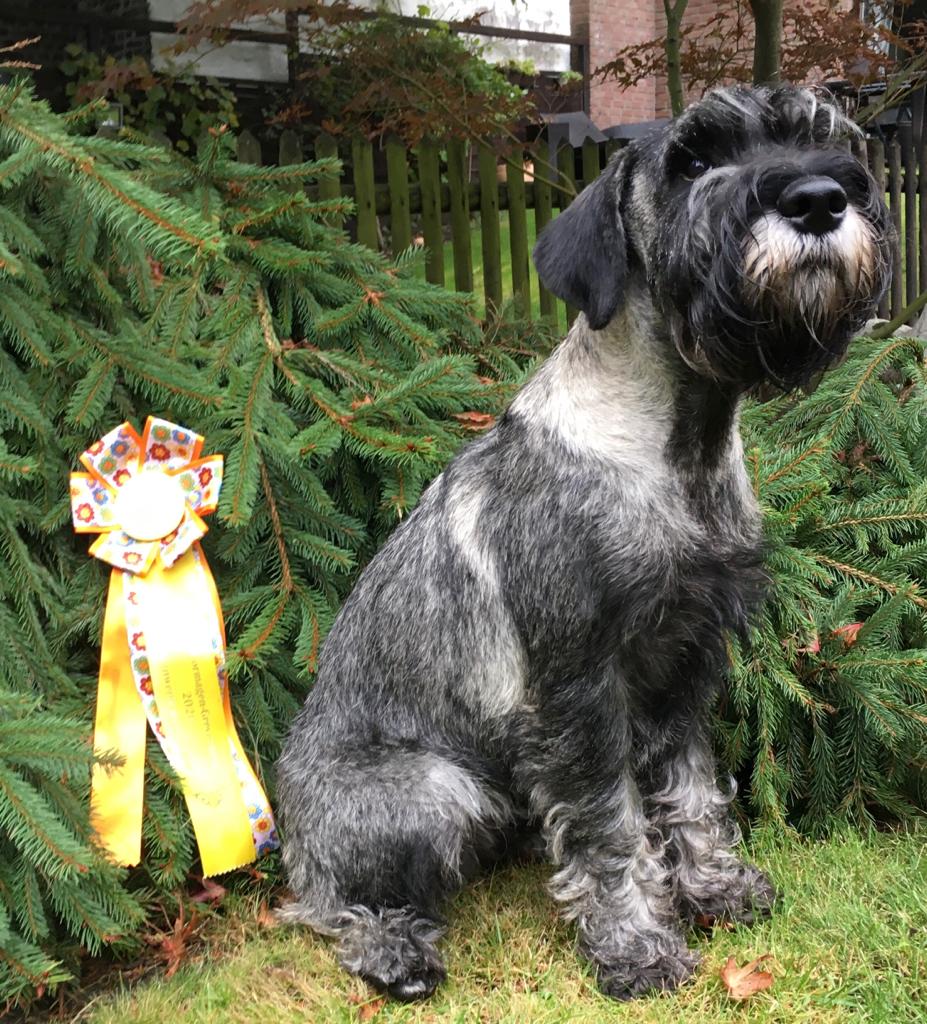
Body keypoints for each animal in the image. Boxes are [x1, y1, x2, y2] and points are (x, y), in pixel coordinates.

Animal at [278, 86, 893, 999]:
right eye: (691, 161)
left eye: (824, 137)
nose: (818, 199)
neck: (677, 449)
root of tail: (284, 825)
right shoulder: (579, 691)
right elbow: (610, 829)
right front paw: (637, 945)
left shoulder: (685, 663)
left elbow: (692, 788)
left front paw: (713, 888)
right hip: (433, 788)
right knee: (334, 903)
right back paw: (395, 952)